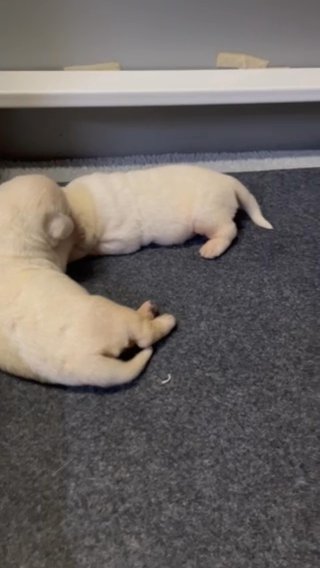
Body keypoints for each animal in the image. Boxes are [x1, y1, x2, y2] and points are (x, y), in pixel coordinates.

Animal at [0, 173, 175, 386]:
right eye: (67, 206)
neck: (9, 238)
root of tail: (84, 365)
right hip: (108, 314)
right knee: (143, 336)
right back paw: (161, 319)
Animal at [64, 164, 272, 262]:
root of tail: (229, 180)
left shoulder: (122, 239)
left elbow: (95, 248)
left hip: (207, 215)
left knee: (229, 229)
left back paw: (212, 247)